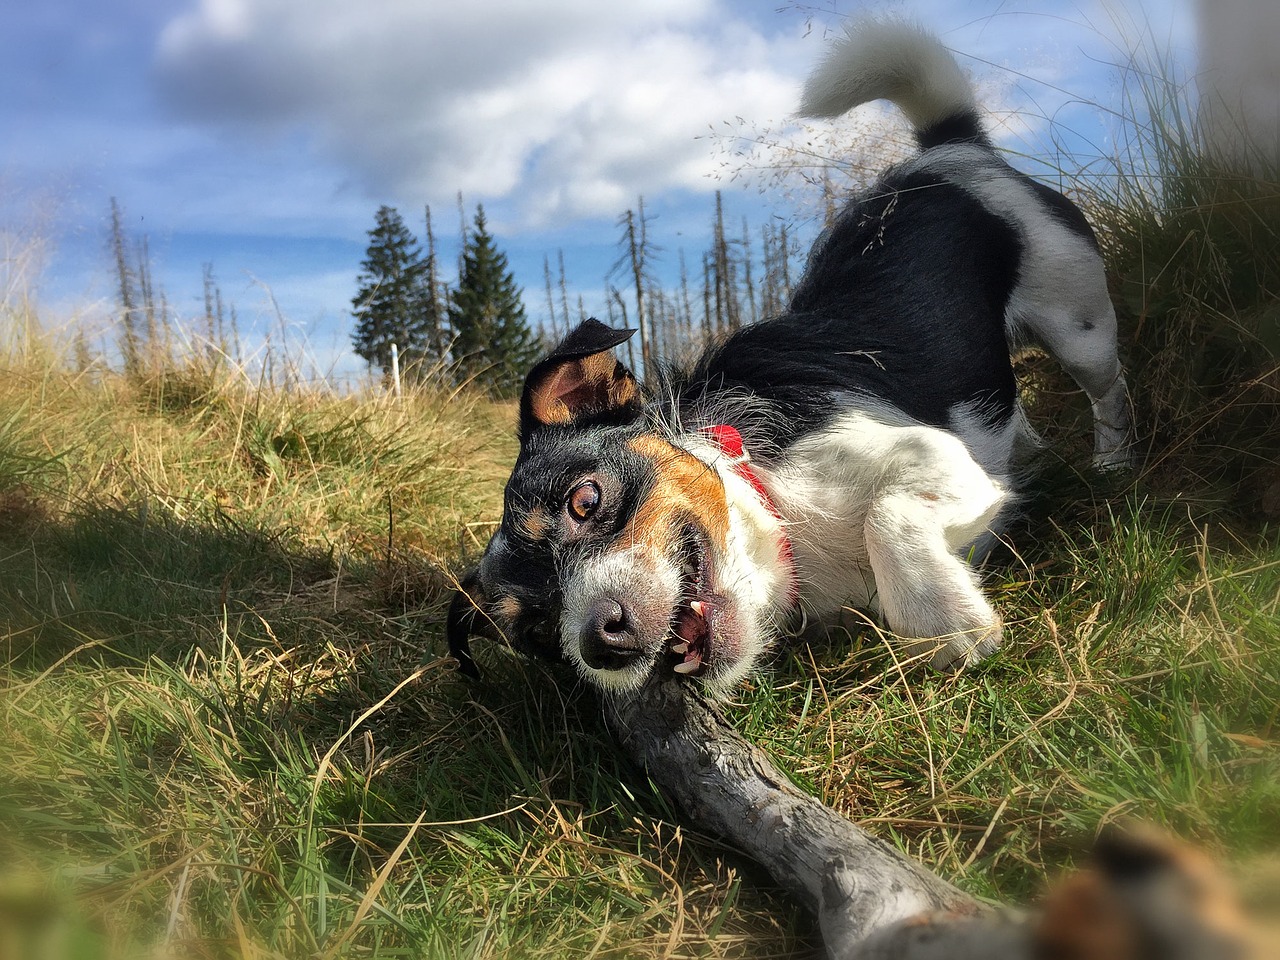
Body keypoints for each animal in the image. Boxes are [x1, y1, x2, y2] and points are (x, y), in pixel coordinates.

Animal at [445, 20, 1136, 701]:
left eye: (584, 501)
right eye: (537, 631)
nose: (598, 641)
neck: (776, 515)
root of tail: (951, 148)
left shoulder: (932, 456)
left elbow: (889, 516)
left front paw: (944, 619)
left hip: (1078, 321)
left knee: (1109, 391)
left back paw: (1112, 462)